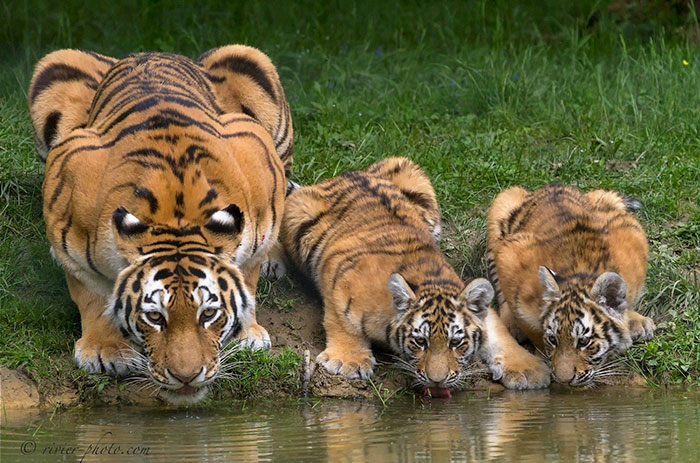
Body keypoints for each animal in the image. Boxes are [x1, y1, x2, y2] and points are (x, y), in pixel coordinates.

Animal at [28, 45, 293, 404]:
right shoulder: (67, 222)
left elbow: (248, 276)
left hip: (252, 65)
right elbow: (92, 293)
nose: (186, 377)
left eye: (208, 314)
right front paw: (105, 350)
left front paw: (246, 334)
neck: (176, 217)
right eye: (154, 317)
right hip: (55, 65)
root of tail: (149, 52)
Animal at [279, 157, 551, 393]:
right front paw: (348, 361)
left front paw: (529, 369)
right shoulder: (338, 278)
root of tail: (349, 174)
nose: (437, 380)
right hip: (296, 210)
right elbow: (341, 320)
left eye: (455, 343)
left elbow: (500, 335)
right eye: (421, 341)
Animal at [487, 184, 655, 387]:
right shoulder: (509, 254)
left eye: (583, 342)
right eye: (553, 339)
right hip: (501, 205)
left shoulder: (631, 231)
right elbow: (530, 326)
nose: (564, 380)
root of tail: (551, 186)